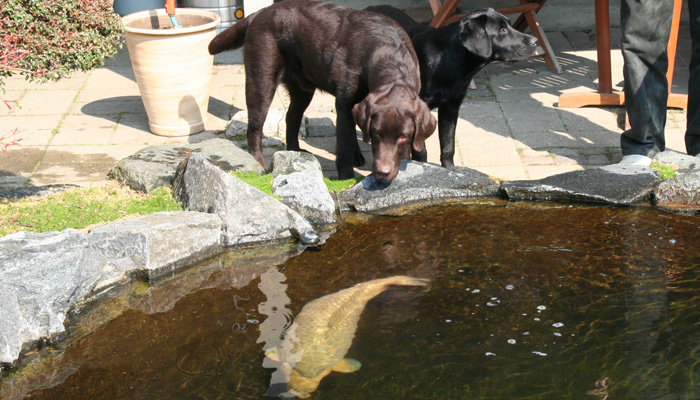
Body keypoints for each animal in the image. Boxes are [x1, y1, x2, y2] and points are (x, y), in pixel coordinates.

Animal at [208, 0, 434, 181]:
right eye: (376, 133)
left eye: (403, 137)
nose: (382, 172)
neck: (389, 58)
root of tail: (259, 13)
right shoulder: (344, 105)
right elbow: (343, 148)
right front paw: (346, 179)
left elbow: (420, 148)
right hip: (261, 79)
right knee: (254, 129)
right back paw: (260, 164)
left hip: (302, 90)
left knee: (292, 118)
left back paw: (295, 152)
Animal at [366, 6, 536, 169]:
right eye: (502, 30)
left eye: (509, 25)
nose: (534, 41)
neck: (448, 64)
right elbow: (420, 149)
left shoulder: (451, 108)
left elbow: (448, 145)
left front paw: (450, 170)